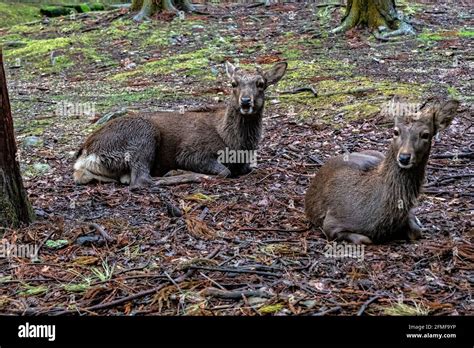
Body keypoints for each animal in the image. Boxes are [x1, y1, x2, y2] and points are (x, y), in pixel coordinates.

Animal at [72, 61, 286, 189]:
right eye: (233, 83)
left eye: (261, 83)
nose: (246, 101)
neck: (235, 144)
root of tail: (86, 154)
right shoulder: (191, 152)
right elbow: (224, 171)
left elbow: (247, 169)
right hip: (142, 135)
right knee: (141, 180)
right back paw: (184, 174)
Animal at [304, 98, 460, 245]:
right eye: (395, 131)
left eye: (426, 134)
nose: (404, 157)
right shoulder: (331, 221)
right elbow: (364, 239)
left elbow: (416, 232)